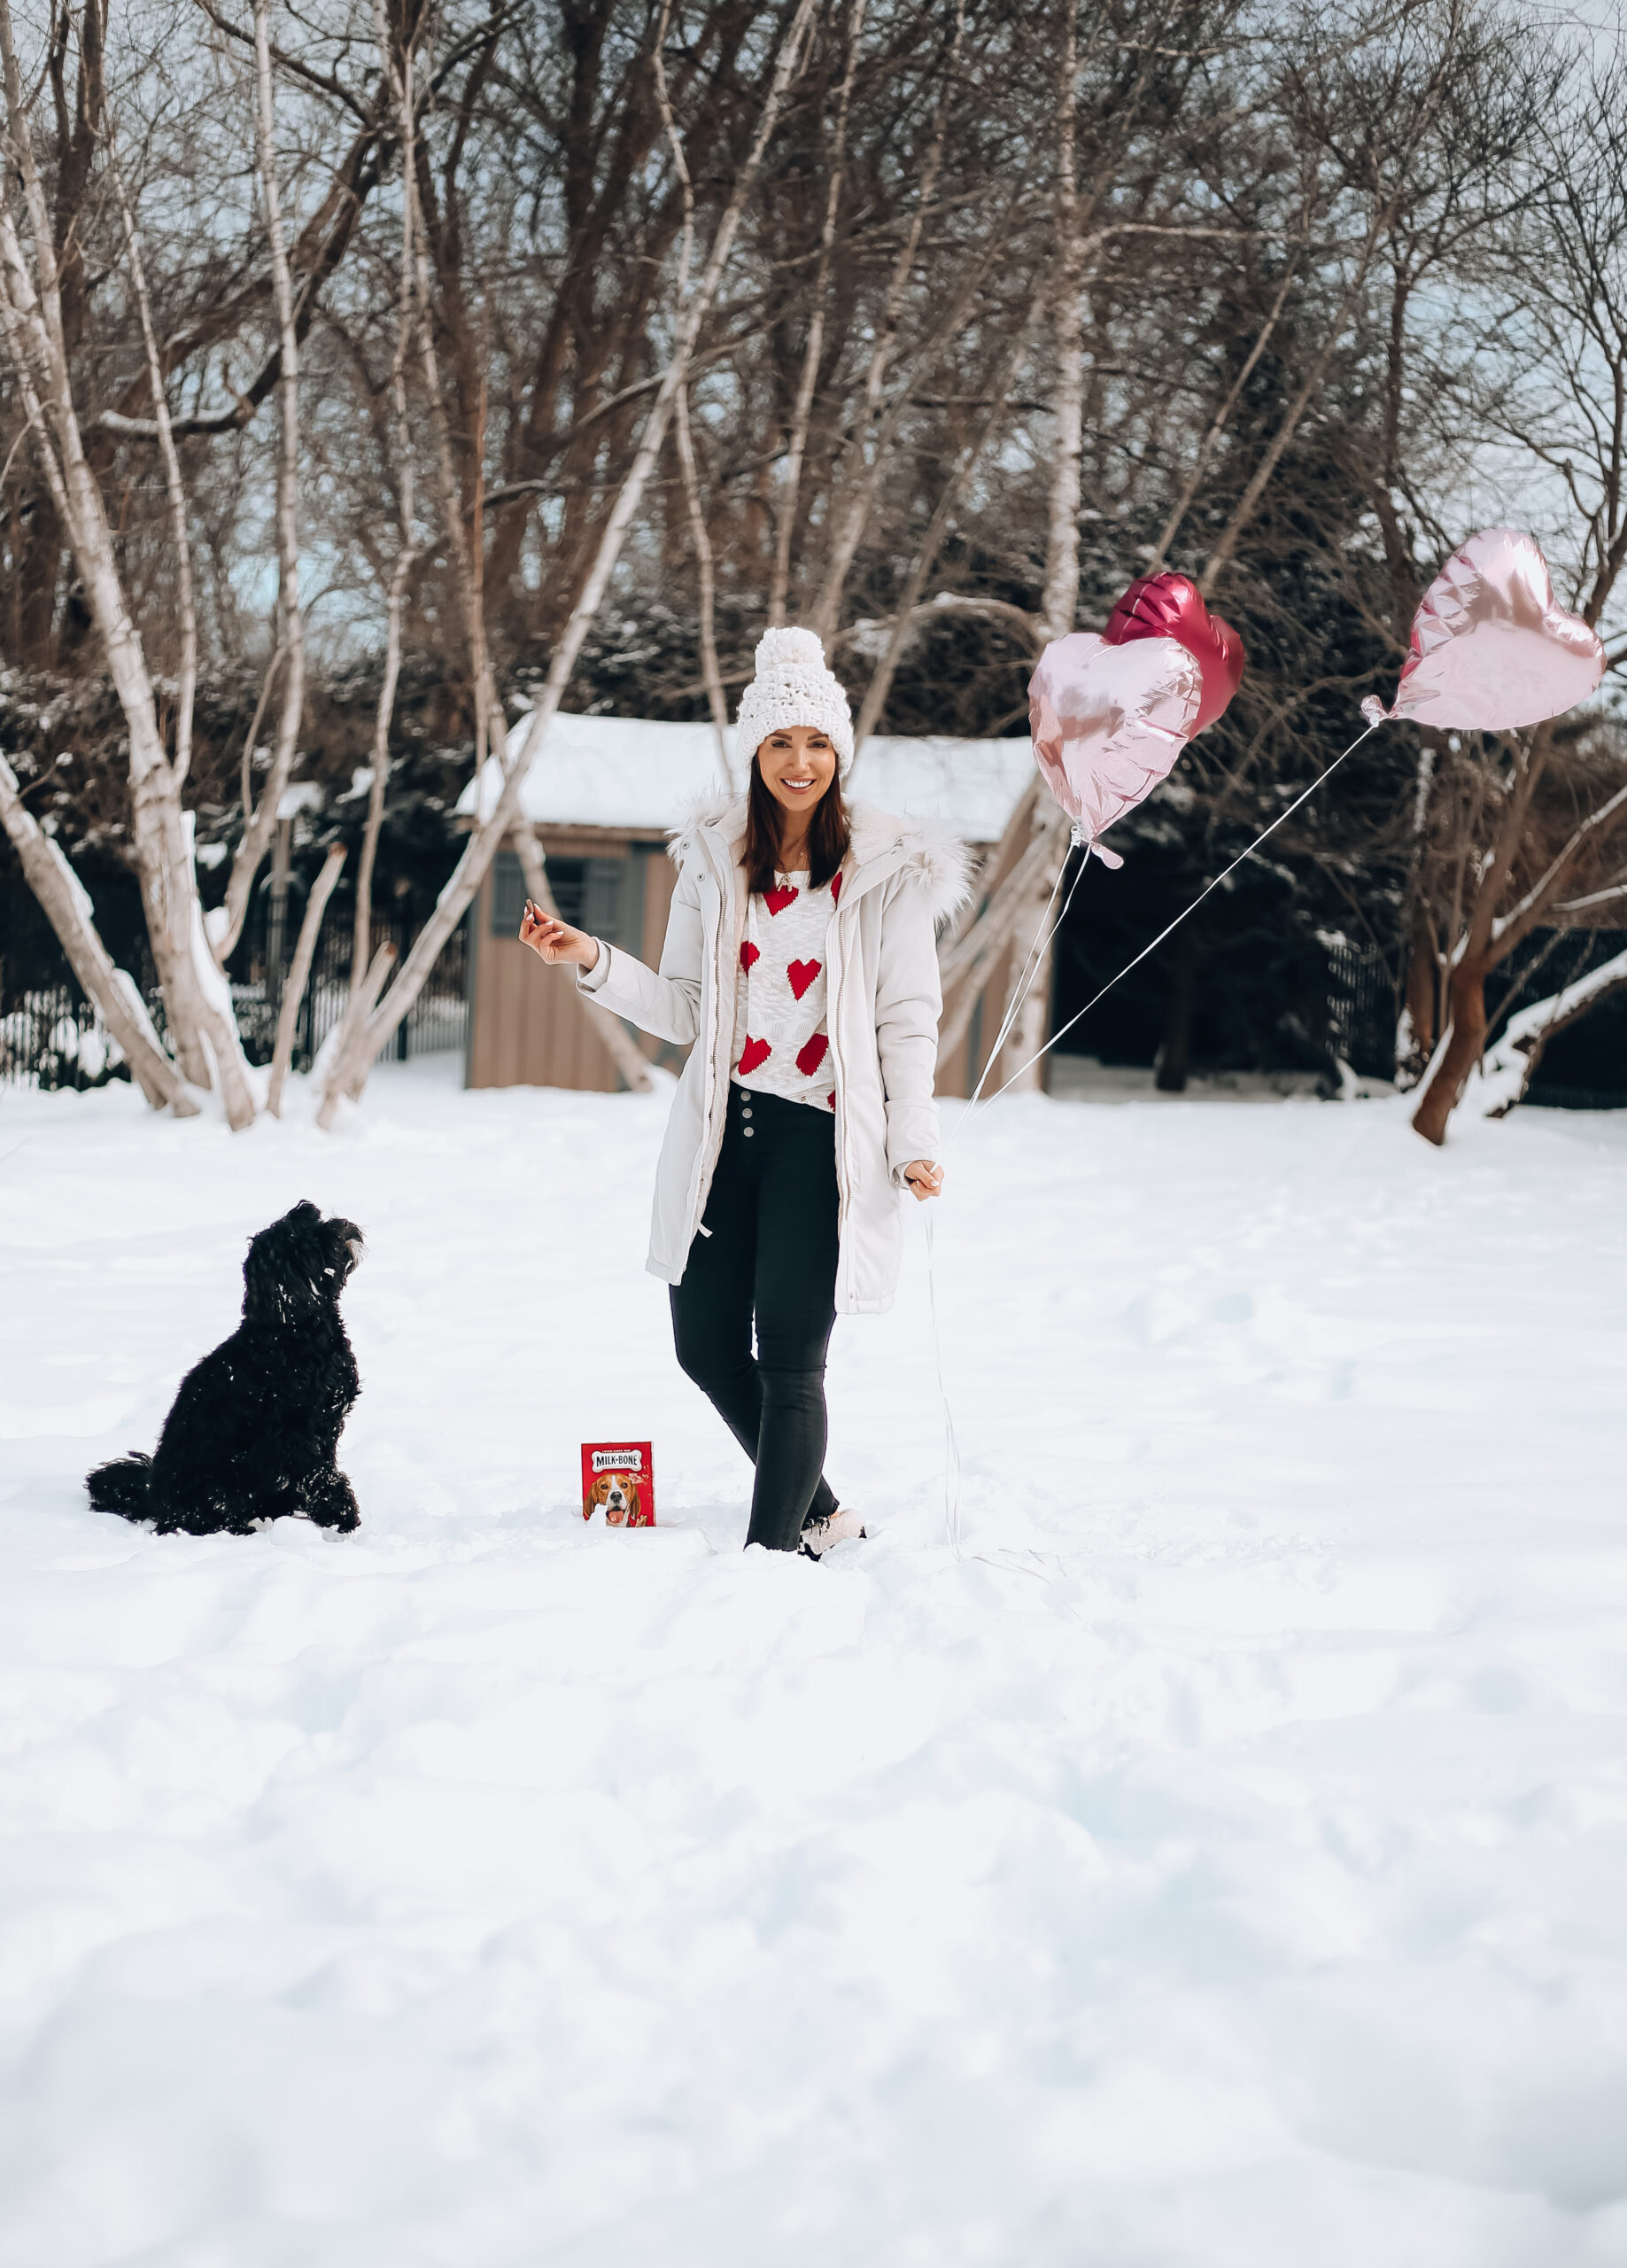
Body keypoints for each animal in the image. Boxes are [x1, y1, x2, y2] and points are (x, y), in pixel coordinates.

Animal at [88, 1197, 367, 1533]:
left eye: (315, 1219)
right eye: (307, 1242)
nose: (341, 1224)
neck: (293, 1328)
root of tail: (151, 1496)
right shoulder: (298, 1435)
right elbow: (320, 1478)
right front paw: (342, 1516)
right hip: (224, 1482)